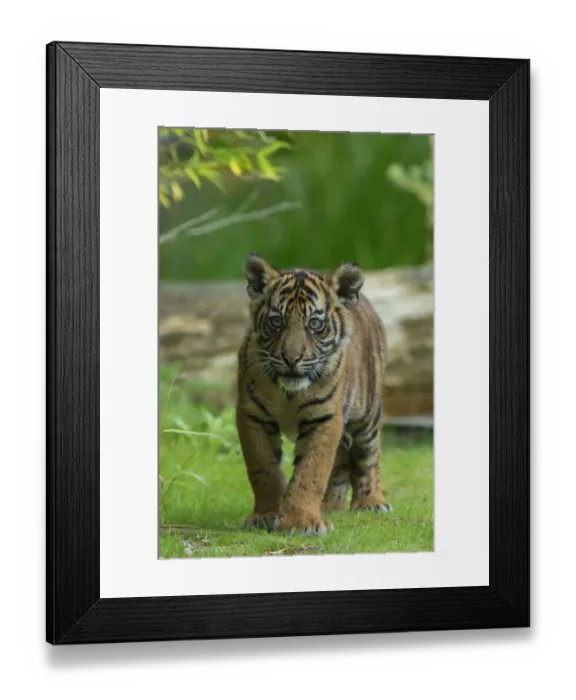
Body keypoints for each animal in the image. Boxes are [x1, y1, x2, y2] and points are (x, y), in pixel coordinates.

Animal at [235, 252, 392, 536]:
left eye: (315, 324)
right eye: (276, 321)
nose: (291, 359)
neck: (287, 393)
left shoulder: (324, 417)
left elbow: (311, 471)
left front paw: (301, 522)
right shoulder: (252, 416)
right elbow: (263, 468)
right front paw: (266, 515)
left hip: (368, 417)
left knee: (369, 457)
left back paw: (371, 502)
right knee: (341, 462)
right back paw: (330, 507)